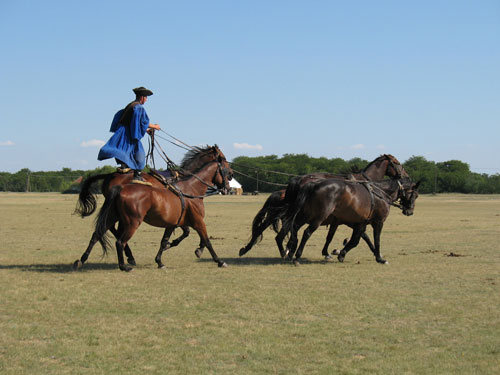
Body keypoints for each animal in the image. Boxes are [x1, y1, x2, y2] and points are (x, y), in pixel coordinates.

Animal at [73, 145, 232, 272]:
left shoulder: (173, 223)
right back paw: (125, 265)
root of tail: (119, 187)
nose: (228, 188)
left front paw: (160, 261)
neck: (191, 189)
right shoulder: (198, 221)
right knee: (119, 240)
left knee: (97, 234)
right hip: (132, 222)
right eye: (227, 170)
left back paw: (81, 260)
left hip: (113, 215)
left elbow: (165, 241)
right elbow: (206, 240)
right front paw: (218, 260)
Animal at [239, 154, 410, 258]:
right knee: (280, 231)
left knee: (266, 229)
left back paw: (251, 249)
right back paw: (284, 250)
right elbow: (363, 236)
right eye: (397, 163)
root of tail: (297, 180)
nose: (406, 176)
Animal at [282, 178, 418, 264]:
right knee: (307, 232)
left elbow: (355, 241)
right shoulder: (378, 222)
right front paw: (380, 258)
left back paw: (291, 250)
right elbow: (376, 240)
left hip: (306, 215)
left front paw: (342, 254)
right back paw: (297, 256)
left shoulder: (360, 223)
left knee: (294, 228)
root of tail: (314, 184)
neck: (381, 193)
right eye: (415, 195)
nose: (410, 211)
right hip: (318, 217)